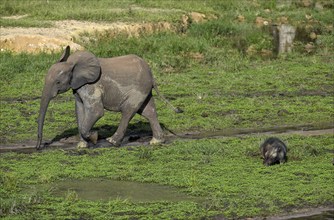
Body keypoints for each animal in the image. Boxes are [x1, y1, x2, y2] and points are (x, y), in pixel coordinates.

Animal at [36, 46, 183, 150]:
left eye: (58, 82)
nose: (38, 147)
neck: (72, 64)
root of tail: (151, 74)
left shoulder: (91, 85)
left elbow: (96, 111)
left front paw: (94, 138)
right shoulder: (78, 87)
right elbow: (79, 110)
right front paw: (82, 145)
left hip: (139, 89)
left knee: (128, 110)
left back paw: (112, 141)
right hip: (144, 88)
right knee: (148, 111)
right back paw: (156, 142)